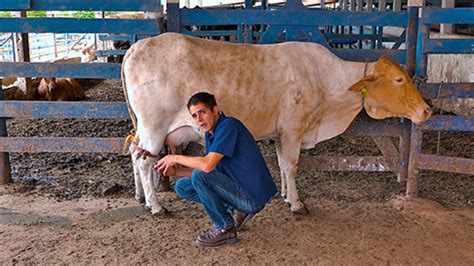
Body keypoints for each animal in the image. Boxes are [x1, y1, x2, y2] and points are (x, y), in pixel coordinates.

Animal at [121, 32, 430, 215]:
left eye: (406, 76)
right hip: (154, 126)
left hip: (143, 128)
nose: (426, 110)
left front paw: (284, 195)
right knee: (144, 160)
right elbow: (291, 165)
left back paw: (139, 196)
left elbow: (282, 164)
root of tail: (137, 45)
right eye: (399, 79)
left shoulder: (282, 132)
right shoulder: (293, 129)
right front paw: (297, 203)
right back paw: (155, 206)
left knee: (134, 154)